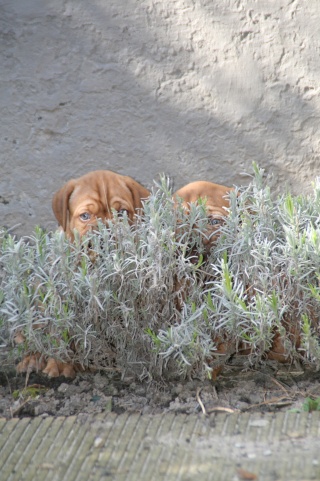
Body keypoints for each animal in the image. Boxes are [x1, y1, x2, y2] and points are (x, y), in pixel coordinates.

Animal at [15, 171, 149, 376]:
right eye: (85, 216)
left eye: (123, 213)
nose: (105, 231)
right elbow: (61, 333)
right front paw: (61, 363)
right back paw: (33, 358)